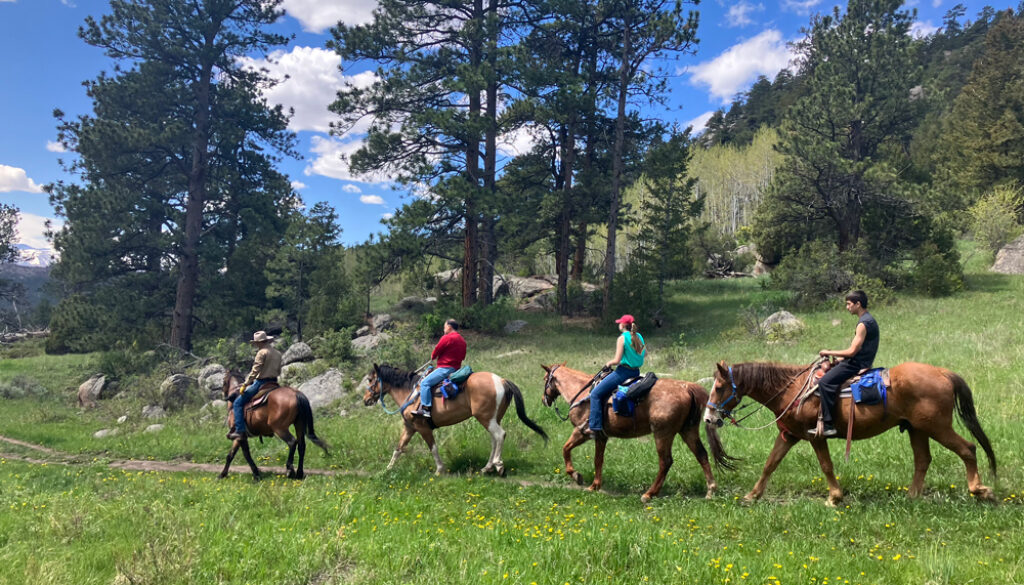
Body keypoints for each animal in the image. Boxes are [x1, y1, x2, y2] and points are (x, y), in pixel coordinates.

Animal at [364, 366, 548, 475]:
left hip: (485, 418)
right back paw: (488, 467)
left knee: (500, 435)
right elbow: (398, 448)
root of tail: (501, 380)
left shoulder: (423, 428)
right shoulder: (410, 428)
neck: (410, 393)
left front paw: (439, 470)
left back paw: (498, 464)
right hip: (492, 419)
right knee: (494, 440)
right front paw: (387, 470)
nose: (366, 400)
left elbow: (433, 448)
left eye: (371, 380)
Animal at [536, 364, 737, 502]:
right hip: (687, 431)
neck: (583, 393)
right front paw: (595, 485)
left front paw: (576, 476)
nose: (544, 400)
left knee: (665, 462)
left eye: (545, 378)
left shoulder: (582, 432)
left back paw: (649, 494)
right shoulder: (601, 437)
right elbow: (598, 460)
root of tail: (687, 388)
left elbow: (565, 449)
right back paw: (711, 490)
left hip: (662, 434)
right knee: (701, 455)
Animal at [700, 358, 995, 506]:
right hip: (918, 429)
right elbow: (770, 464)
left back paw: (979, 489)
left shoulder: (815, 435)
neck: (792, 389)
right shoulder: (790, 435)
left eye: (719, 387)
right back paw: (912, 496)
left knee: (968, 448)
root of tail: (943, 373)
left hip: (937, 427)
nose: (709, 417)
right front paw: (752, 495)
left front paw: (834, 497)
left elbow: (826, 465)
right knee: (923, 460)